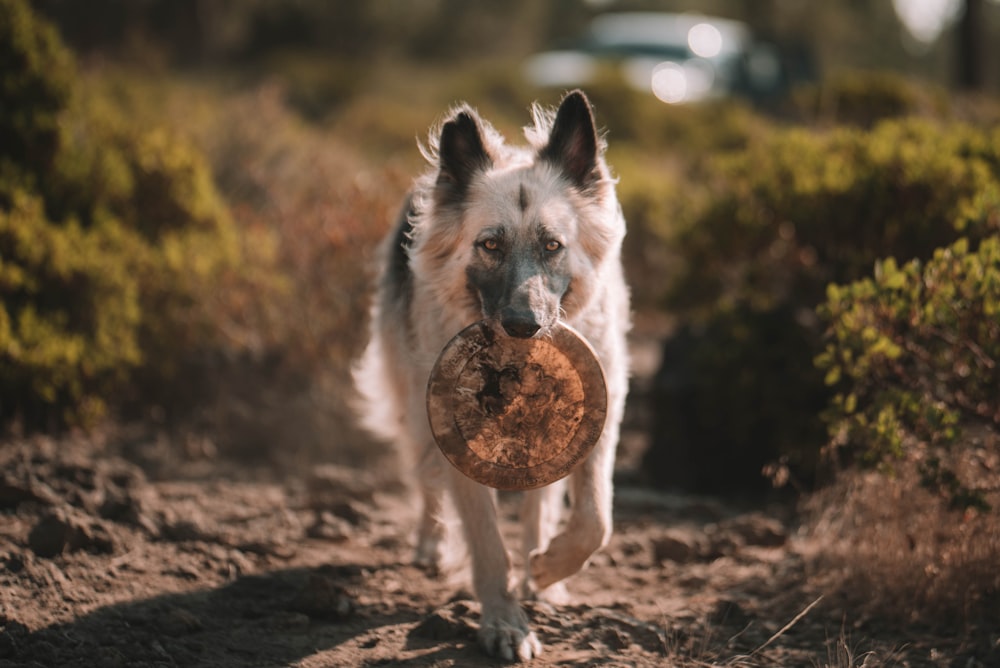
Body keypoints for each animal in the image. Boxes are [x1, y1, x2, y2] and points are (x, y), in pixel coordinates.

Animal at [356, 90, 628, 664]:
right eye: (490, 246)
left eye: (552, 246)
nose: (523, 325)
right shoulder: (452, 435)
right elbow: (485, 539)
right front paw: (504, 621)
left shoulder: (603, 412)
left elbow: (596, 519)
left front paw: (547, 570)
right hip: (413, 404)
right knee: (425, 480)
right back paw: (432, 543)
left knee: (544, 503)